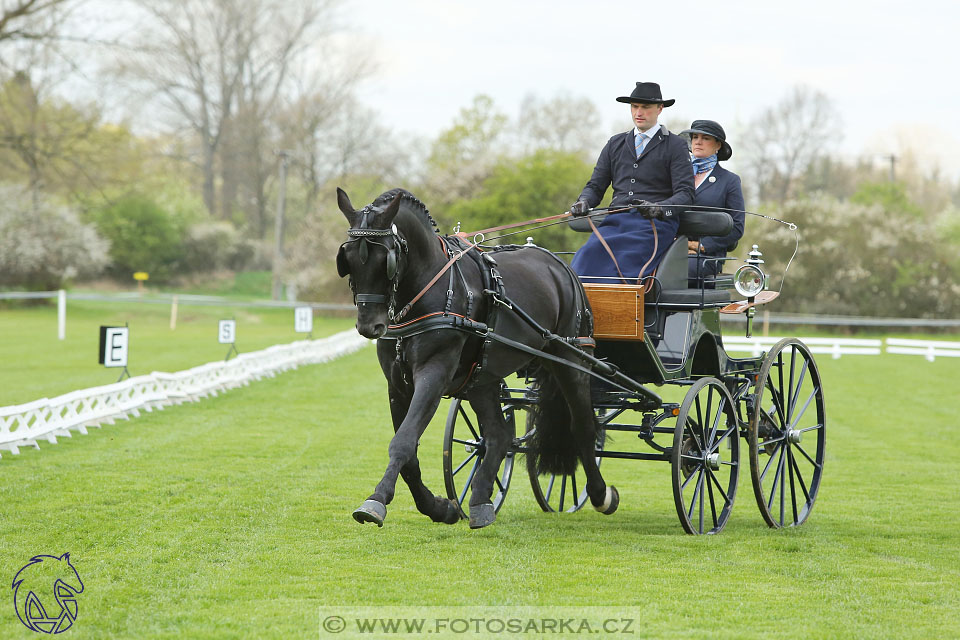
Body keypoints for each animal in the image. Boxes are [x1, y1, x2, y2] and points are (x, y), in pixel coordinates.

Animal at [338, 188, 624, 528]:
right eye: (348, 258)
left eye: (386, 260)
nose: (370, 326)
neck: (429, 286)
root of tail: (561, 265)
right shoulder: (397, 384)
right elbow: (409, 454)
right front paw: (440, 508)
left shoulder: (434, 373)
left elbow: (404, 441)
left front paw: (377, 501)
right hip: (482, 377)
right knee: (499, 435)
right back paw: (480, 500)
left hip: (571, 361)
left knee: (582, 427)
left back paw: (600, 494)